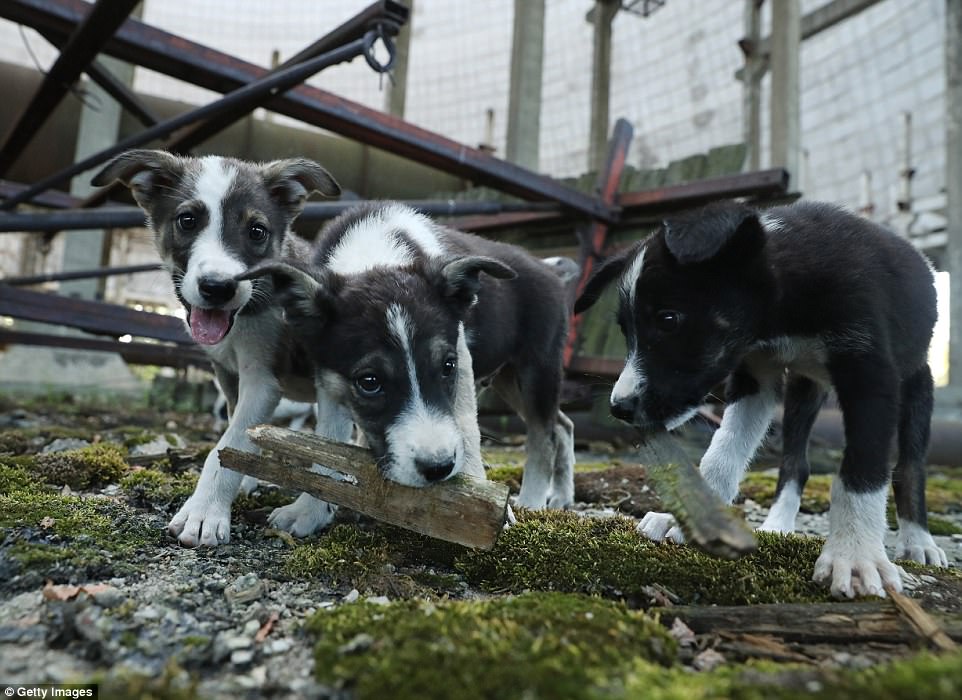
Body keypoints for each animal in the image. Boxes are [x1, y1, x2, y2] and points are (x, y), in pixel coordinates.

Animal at [90, 150, 344, 548]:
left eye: (257, 231)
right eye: (187, 221)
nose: (218, 287)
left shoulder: (261, 381)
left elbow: (226, 446)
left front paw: (204, 513)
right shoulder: (229, 377)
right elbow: (237, 439)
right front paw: (244, 480)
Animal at [240, 205, 572, 506]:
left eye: (447, 366)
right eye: (369, 382)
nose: (438, 469)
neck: (375, 253)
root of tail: (550, 269)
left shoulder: (462, 360)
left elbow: (467, 428)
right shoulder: (329, 375)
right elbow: (329, 436)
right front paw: (308, 513)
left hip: (537, 368)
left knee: (544, 437)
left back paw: (531, 502)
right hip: (507, 378)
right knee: (563, 426)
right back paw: (561, 496)